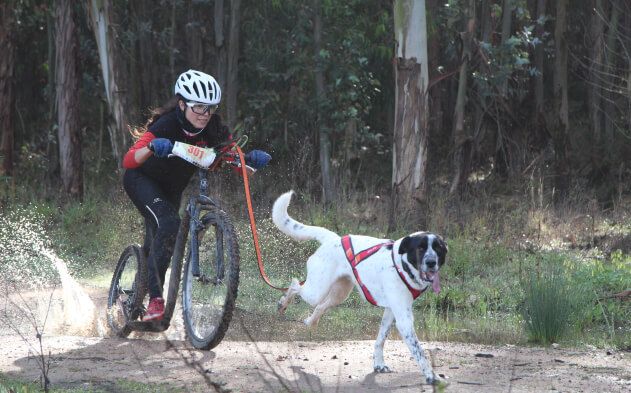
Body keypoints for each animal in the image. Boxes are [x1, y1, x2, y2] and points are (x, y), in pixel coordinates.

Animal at [274, 190, 446, 382]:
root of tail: (334, 238)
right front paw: (431, 376)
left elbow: (380, 339)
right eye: (420, 248)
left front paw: (378, 364)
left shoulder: (392, 310)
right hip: (317, 290)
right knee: (295, 284)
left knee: (319, 306)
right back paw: (283, 303)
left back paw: (311, 322)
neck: (402, 265)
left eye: (438, 248)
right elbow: (420, 352)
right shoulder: (404, 320)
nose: (431, 262)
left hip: (340, 294)